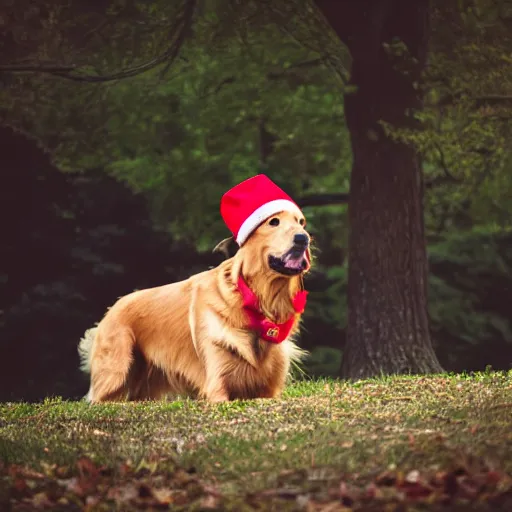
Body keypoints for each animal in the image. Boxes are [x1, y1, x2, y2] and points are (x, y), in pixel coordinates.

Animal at [78, 210, 310, 402]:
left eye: (301, 222)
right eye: (274, 221)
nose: (303, 238)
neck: (255, 302)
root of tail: (112, 308)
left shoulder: (269, 390)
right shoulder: (217, 385)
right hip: (115, 371)